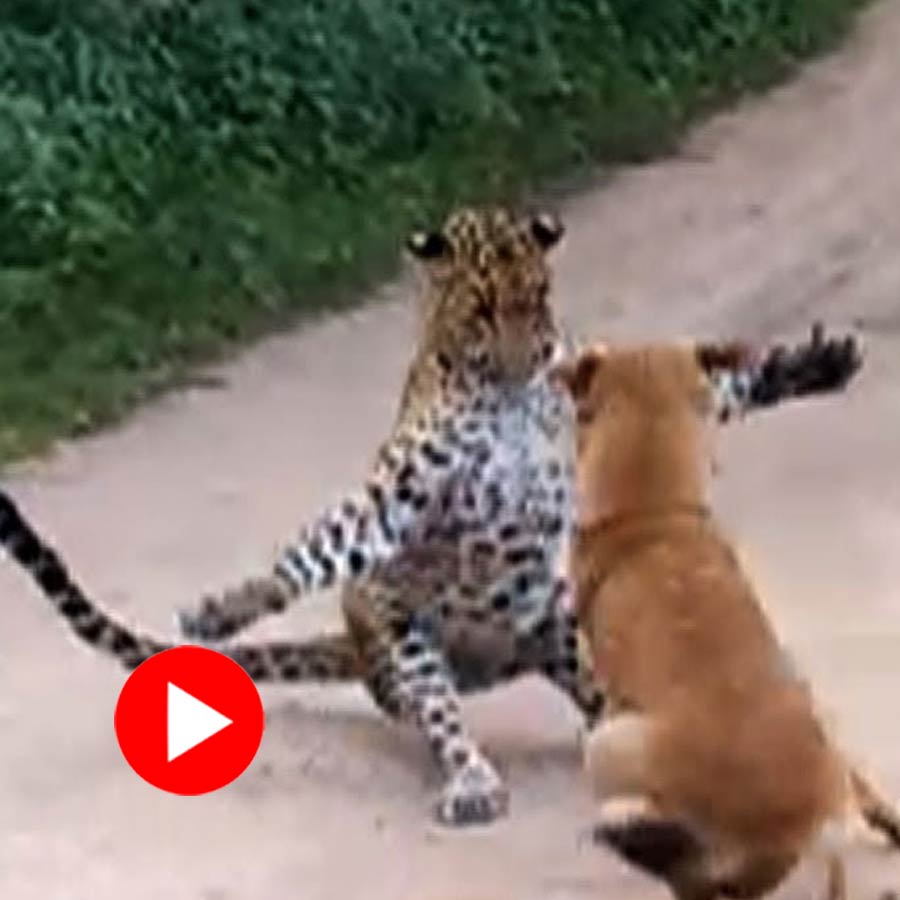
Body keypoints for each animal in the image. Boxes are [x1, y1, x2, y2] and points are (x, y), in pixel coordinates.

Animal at [0, 204, 862, 827]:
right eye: (482, 309)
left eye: (535, 300)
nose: (529, 356)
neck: (506, 392)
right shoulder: (399, 500)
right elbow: (322, 545)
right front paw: (227, 606)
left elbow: (721, 388)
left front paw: (809, 366)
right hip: (406, 639)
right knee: (444, 722)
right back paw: (474, 782)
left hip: (563, 623)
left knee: (605, 695)